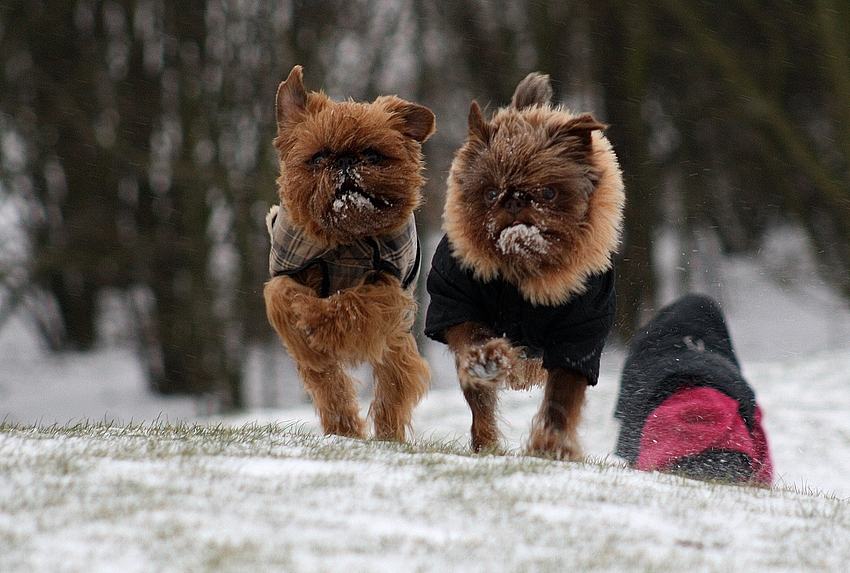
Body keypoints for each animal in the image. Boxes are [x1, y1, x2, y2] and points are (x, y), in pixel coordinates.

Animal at [264, 68, 438, 442]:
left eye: (373, 156)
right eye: (318, 158)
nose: (344, 160)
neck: (344, 240)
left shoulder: (389, 291)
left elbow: (353, 303)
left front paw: (316, 320)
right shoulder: (288, 271)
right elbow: (283, 295)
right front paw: (304, 325)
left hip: (396, 340)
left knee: (392, 386)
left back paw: (387, 435)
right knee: (329, 383)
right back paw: (342, 427)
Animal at [424, 73, 624, 460]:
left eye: (548, 193)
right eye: (489, 193)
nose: (515, 200)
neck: (523, 267)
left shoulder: (579, 338)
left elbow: (561, 398)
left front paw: (552, 445)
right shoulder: (455, 304)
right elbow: (474, 349)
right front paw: (486, 358)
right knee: (480, 401)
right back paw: (484, 441)